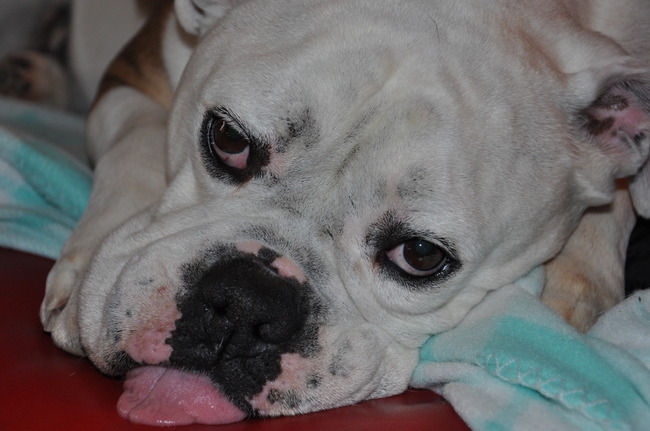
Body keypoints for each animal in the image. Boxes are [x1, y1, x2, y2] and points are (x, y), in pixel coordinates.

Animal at [34, 0, 650, 424]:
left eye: (420, 255)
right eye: (229, 138)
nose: (246, 302)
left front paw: (575, 284)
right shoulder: (131, 76)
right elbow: (136, 145)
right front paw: (87, 272)